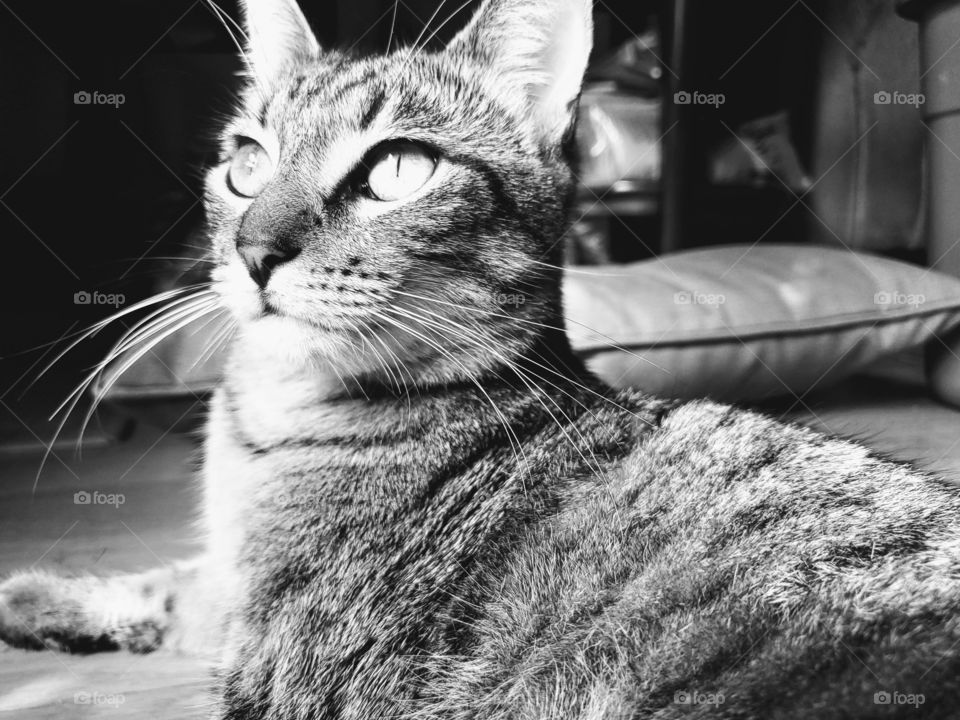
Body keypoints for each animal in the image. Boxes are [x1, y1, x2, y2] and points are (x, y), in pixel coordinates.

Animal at [1, 0, 960, 716]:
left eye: (398, 169)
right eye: (245, 163)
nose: (253, 251)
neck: (268, 421)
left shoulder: (282, 663)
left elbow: (194, 603)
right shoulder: (230, 591)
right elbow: (174, 582)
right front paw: (39, 596)